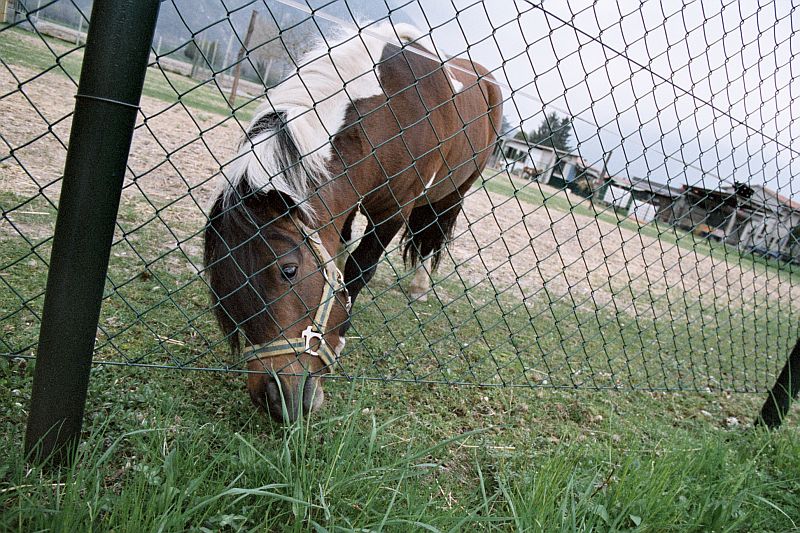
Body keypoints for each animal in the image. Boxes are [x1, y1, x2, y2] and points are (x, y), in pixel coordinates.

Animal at [204, 23, 503, 421]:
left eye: (288, 270)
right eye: (222, 284)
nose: (274, 400)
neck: (388, 108)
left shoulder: (394, 209)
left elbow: (361, 268)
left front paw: (343, 328)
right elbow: (341, 252)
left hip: (454, 192)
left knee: (430, 238)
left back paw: (420, 285)